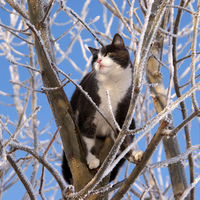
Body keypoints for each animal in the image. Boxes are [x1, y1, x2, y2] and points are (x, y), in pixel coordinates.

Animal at [61, 33, 143, 184]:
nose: (98, 60)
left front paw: (133, 154)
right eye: (94, 58)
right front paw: (92, 160)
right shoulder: (87, 114)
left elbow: (124, 140)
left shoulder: (122, 115)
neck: (112, 84)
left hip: (132, 122)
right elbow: (88, 137)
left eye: (108, 54)